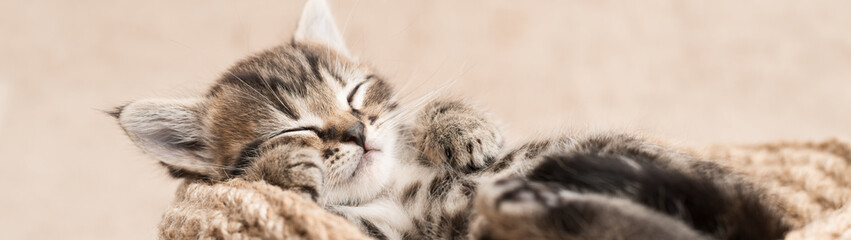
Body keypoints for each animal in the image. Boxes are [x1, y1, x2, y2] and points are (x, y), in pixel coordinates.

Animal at [111, 0, 784, 239]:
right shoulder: (369, 235)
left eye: (356, 94)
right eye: (291, 126)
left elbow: (425, 116)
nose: (356, 133)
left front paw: (461, 126)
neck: (394, 188)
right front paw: (287, 166)